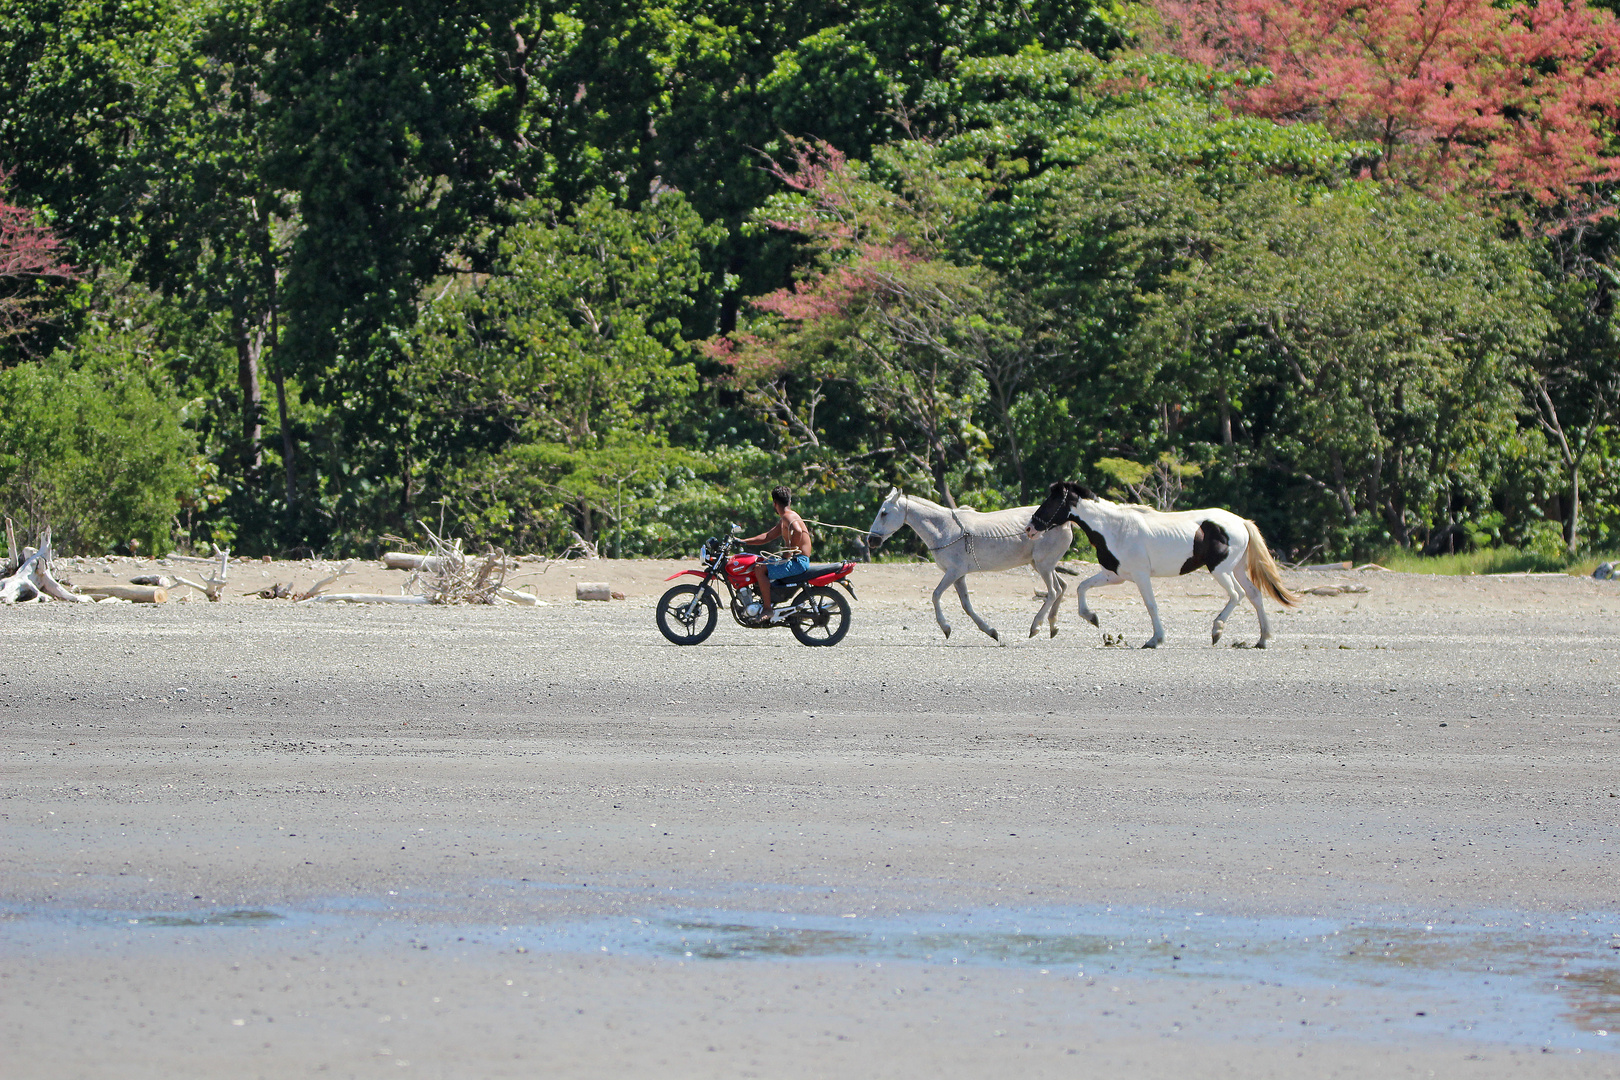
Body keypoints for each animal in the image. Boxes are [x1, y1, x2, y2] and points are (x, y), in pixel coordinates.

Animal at [861, 488, 1075, 641]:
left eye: (884, 513)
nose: (871, 540)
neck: (945, 529)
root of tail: (1065, 522)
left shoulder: (953, 572)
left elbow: (936, 595)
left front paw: (946, 628)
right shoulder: (959, 576)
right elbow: (966, 605)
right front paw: (991, 631)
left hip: (1043, 565)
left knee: (1054, 591)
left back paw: (1035, 627)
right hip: (1041, 565)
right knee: (1062, 587)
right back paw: (1053, 626)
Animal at [1023, 482, 1302, 650]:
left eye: (1051, 501)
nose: (1030, 528)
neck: (1113, 528)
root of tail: (1242, 522)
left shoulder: (1140, 575)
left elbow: (1151, 605)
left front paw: (1155, 639)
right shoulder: (1114, 575)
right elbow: (1082, 587)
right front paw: (1092, 618)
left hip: (1221, 570)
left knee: (1237, 594)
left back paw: (1217, 630)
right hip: (1237, 569)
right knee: (1254, 595)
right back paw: (1263, 639)